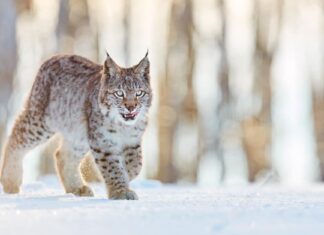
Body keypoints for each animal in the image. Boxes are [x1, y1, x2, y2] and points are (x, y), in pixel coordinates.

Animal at [0, 52, 152, 199]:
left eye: (139, 93)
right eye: (119, 93)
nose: (131, 108)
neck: (123, 125)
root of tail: (57, 56)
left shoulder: (132, 141)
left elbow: (136, 164)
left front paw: (124, 177)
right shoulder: (102, 142)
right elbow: (112, 167)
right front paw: (120, 191)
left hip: (78, 134)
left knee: (61, 155)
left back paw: (76, 188)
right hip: (42, 120)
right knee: (15, 136)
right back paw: (10, 182)